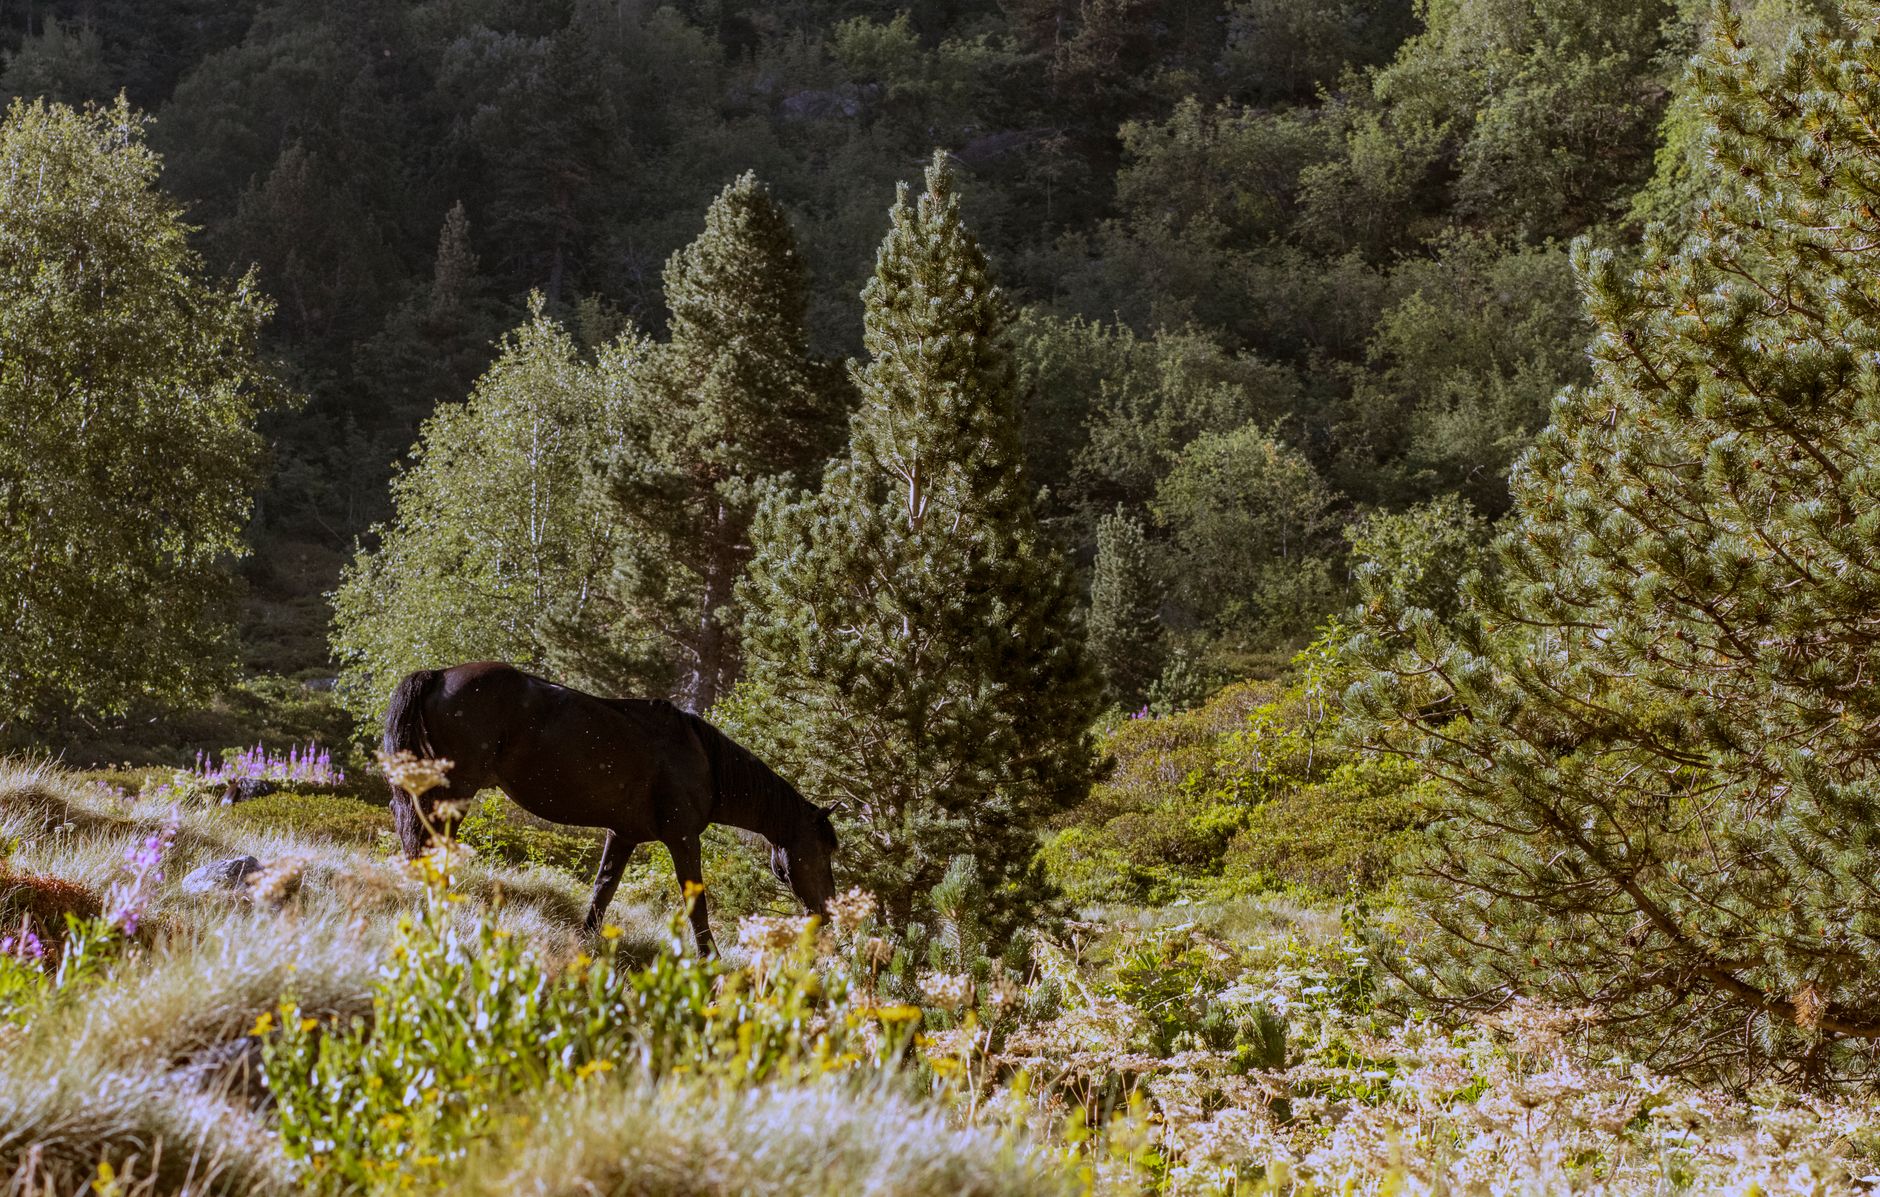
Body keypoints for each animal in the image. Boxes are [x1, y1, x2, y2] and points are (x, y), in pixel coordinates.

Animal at [381, 661, 837, 954]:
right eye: (822, 850)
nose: (827, 913)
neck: (703, 760)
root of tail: (439, 676)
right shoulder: (683, 838)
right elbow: (696, 899)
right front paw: (710, 958)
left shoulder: (624, 836)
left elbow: (603, 890)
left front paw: (587, 942)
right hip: (453, 792)